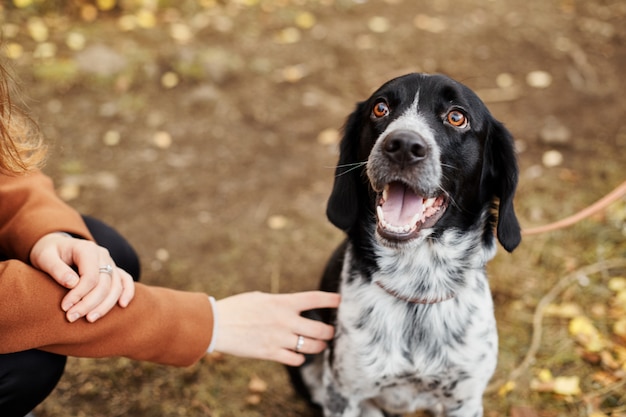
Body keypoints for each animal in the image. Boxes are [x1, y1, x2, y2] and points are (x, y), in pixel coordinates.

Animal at [288, 73, 520, 414]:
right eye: (380, 108)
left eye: (457, 117)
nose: (403, 146)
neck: (417, 288)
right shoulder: (343, 393)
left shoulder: (464, 400)